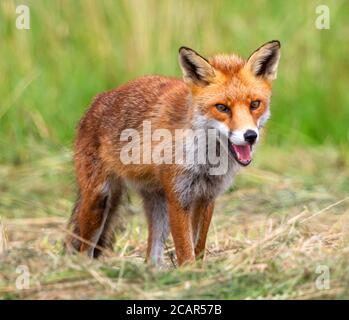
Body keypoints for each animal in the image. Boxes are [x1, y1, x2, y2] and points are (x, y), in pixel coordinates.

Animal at [64, 40, 280, 264]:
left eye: (255, 104)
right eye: (222, 107)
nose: (250, 135)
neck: (206, 161)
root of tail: (95, 101)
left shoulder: (207, 196)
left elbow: (198, 246)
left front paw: (199, 270)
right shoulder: (178, 196)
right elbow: (185, 250)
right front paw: (189, 271)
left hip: (158, 206)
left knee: (151, 257)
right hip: (98, 200)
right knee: (85, 250)